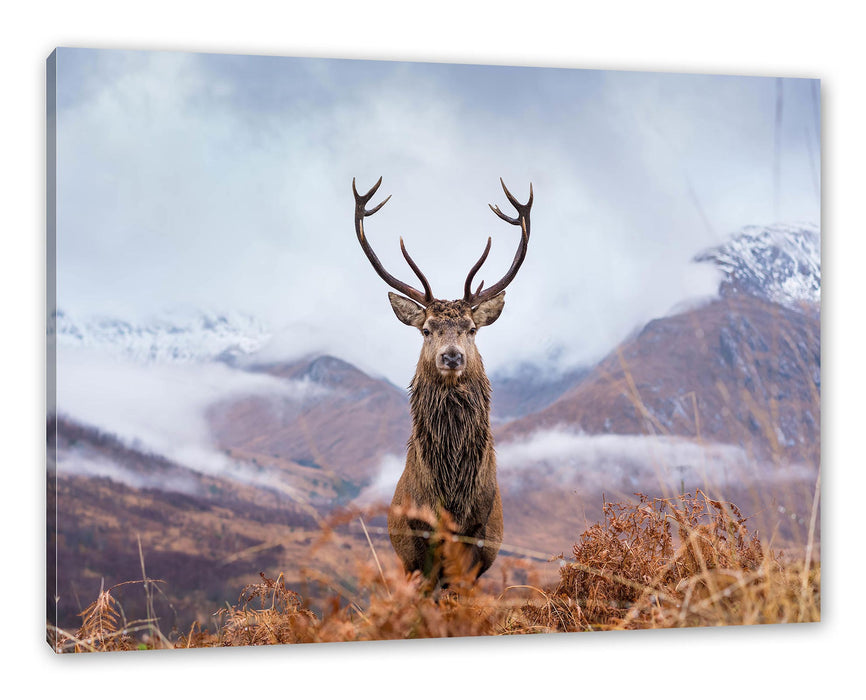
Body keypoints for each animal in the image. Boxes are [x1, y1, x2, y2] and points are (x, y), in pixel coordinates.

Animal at [352, 176, 533, 588]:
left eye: (471, 328)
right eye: (426, 329)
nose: (452, 357)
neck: (451, 497)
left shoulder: (476, 540)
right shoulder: (417, 546)